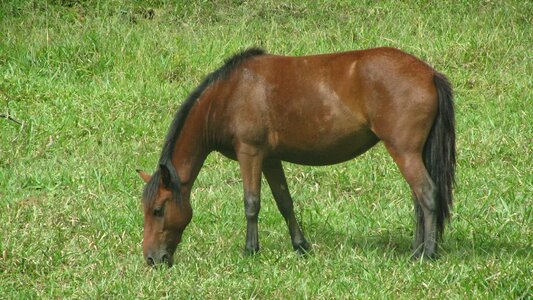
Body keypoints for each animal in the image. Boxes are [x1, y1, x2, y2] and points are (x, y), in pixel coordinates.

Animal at [136, 47, 454, 268]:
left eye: (158, 210)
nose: (152, 259)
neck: (230, 93)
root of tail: (429, 73)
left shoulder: (250, 152)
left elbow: (251, 203)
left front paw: (250, 250)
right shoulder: (270, 158)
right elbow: (284, 202)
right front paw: (301, 246)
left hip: (404, 152)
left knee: (427, 195)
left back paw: (426, 254)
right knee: (419, 200)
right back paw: (418, 249)